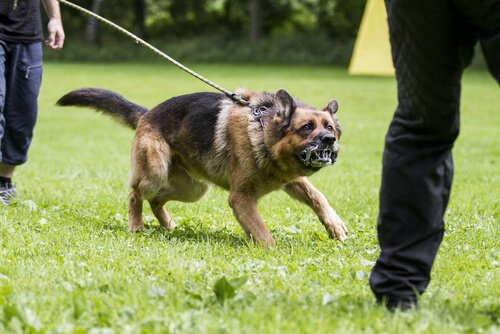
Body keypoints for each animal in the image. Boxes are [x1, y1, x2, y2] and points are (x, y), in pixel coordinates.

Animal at [57, 88, 348, 245]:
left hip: (195, 189)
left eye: (329, 127)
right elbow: (262, 231)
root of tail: (147, 114)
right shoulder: (240, 198)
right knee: (135, 194)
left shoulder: (291, 179)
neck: (263, 133)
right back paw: (136, 226)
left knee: (157, 200)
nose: (329, 140)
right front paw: (271, 251)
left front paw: (335, 226)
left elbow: (317, 197)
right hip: (154, 173)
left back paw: (169, 226)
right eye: (306, 127)